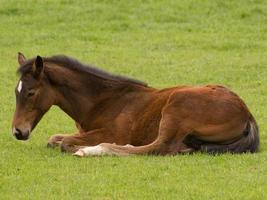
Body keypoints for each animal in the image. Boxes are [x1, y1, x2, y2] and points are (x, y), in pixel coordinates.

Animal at [11, 53, 260, 156]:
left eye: (31, 92)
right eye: (16, 92)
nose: (17, 132)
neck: (102, 101)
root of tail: (246, 113)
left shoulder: (112, 133)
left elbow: (65, 143)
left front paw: (79, 147)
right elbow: (54, 139)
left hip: (176, 107)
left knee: (159, 148)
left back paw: (94, 150)